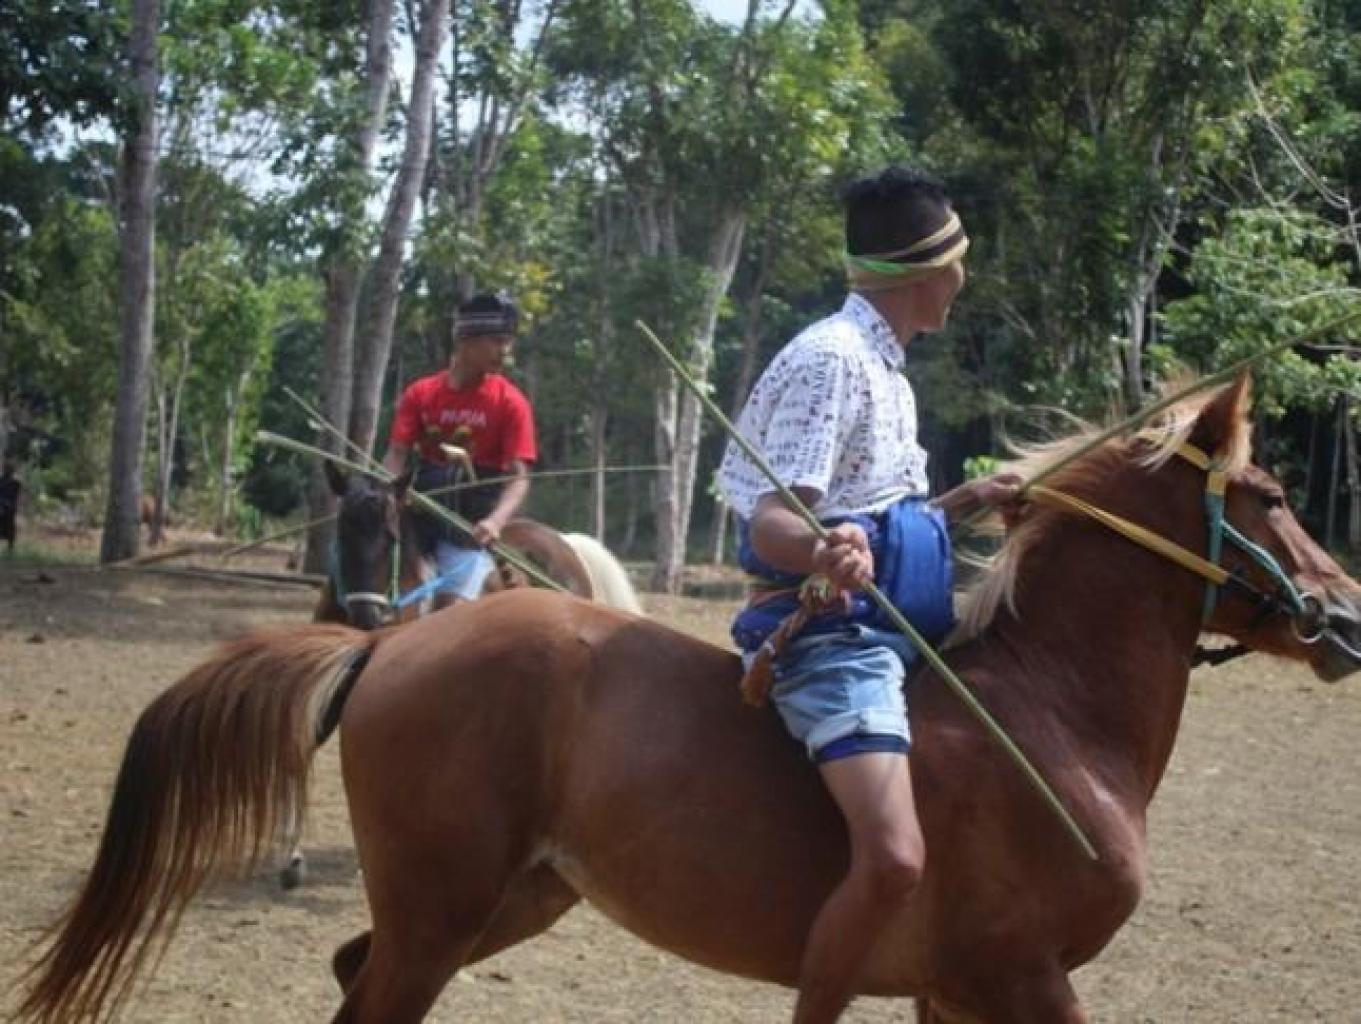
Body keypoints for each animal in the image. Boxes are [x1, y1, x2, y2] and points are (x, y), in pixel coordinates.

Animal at [17, 376, 1361, 1024]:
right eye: (1273, 493)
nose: (1347, 611)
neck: (1051, 721)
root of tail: (391, 647)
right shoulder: (1023, 979)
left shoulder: (955, 992)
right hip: (442, 909)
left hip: (514, 897)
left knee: (354, 968)